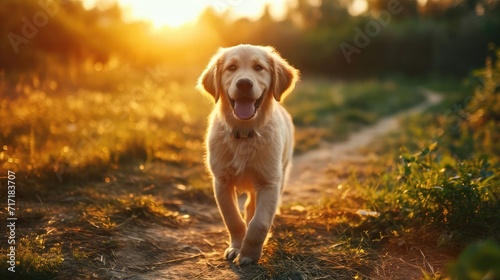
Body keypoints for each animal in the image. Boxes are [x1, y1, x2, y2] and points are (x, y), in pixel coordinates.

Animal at [197, 44, 298, 264]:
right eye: (231, 67)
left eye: (259, 67)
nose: (244, 83)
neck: (245, 133)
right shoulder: (221, 181)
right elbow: (232, 218)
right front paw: (236, 247)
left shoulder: (270, 182)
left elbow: (259, 223)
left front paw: (249, 254)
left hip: (282, 171)